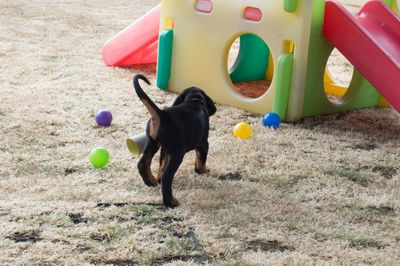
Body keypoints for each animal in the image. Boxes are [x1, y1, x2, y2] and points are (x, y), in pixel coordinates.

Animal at [134, 73, 216, 208]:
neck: (194, 101)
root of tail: (162, 115)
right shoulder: (204, 143)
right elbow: (201, 159)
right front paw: (202, 171)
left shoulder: (165, 149)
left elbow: (162, 164)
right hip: (178, 153)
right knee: (167, 177)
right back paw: (171, 202)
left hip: (153, 143)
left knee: (143, 163)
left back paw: (151, 181)